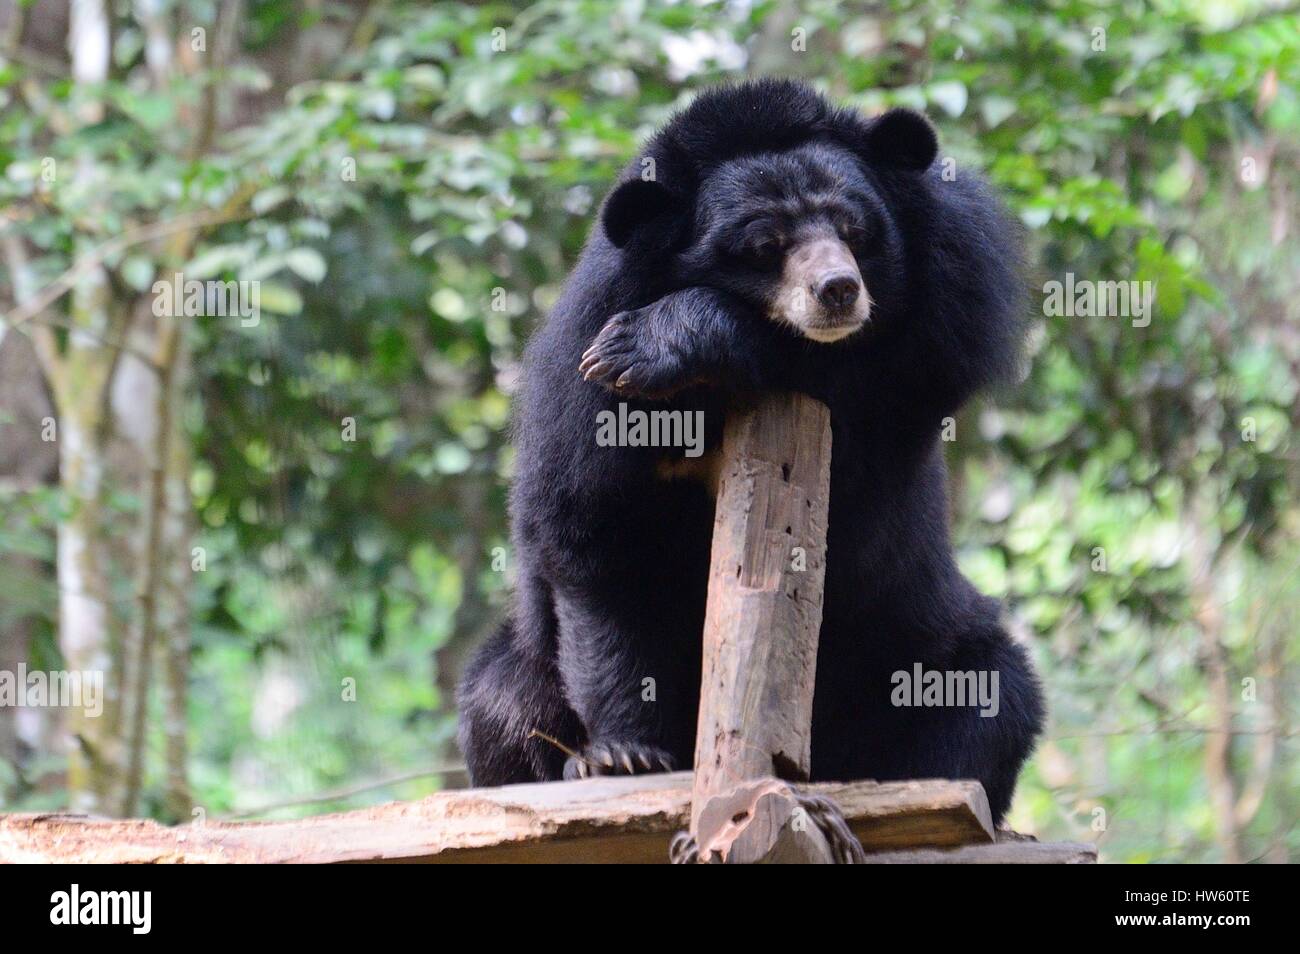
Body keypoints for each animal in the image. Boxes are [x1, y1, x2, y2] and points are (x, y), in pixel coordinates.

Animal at [460, 78, 1045, 821]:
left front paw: (656, 342)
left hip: (910, 641)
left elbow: (865, 401)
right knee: (500, 704)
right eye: (766, 243)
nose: (838, 291)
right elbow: (593, 533)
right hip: (529, 665)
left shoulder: (946, 310)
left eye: (855, 229)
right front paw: (619, 755)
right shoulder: (581, 390)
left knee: (988, 698)